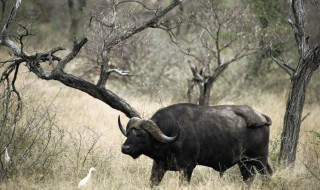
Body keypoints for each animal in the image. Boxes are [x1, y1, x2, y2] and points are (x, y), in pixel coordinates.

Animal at [117, 103, 272, 186]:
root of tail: (261, 117)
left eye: (141, 135)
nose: (125, 148)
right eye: (129, 133)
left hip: (260, 160)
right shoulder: (158, 166)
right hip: (244, 162)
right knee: (249, 178)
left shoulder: (187, 168)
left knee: (266, 175)